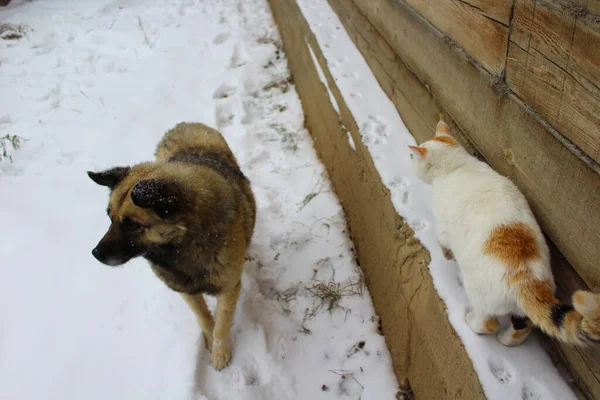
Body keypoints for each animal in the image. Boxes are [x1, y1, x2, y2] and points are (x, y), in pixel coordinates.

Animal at [89, 122, 255, 368]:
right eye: (109, 218)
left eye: (133, 225)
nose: (96, 253)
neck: (186, 244)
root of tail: (186, 124)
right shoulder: (186, 291)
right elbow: (204, 318)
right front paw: (209, 341)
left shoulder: (229, 289)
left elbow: (222, 326)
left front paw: (219, 353)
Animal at [408, 120, 600, 346]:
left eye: (413, 158)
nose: (409, 160)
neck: (458, 166)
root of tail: (527, 278)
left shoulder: (444, 227)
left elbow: (442, 242)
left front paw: (446, 255)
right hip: (523, 310)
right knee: (523, 326)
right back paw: (507, 340)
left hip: (478, 293)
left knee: (488, 324)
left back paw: (471, 321)